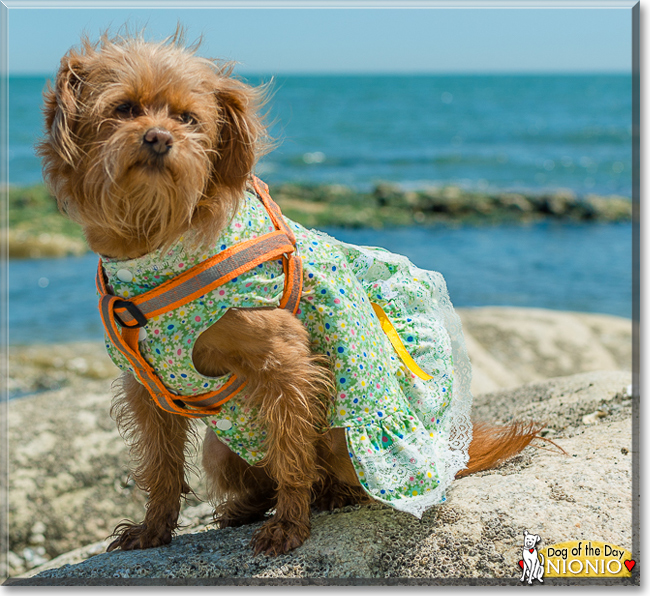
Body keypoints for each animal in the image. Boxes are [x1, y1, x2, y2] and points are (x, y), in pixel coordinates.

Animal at [38, 30, 540, 556]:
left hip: (349, 437)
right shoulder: (146, 388)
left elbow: (293, 455)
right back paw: (240, 510)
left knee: (338, 477)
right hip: (220, 450)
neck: (159, 242)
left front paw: (290, 526)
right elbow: (161, 467)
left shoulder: (287, 366)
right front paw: (153, 529)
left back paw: (330, 497)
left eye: (188, 118)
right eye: (124, 108)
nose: (158, 137)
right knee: (257, 479)